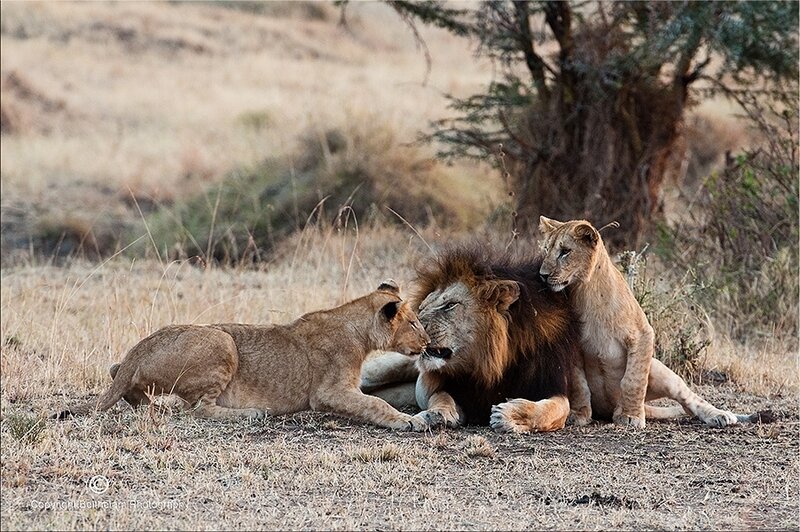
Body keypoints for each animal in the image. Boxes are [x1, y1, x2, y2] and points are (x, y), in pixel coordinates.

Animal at [56, 280, 431, 430]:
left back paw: (151, 406)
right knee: (198, 409)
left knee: (116, 372)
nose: (428, 343)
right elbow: (376, 403)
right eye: (414, 322)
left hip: (131, 366)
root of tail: (141, 347)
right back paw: (252, 413)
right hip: (222, 341)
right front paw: (409, 421)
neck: (358, 330)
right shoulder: (329, 392)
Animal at [361, 245, 583, 433]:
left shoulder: (553, 384)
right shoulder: (439, 384)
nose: (408, 329)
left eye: (450, 305)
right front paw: (437, 414)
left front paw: (508, 416)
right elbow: (440, 397)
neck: (492, 364)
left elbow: (552, 410)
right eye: (422, 307)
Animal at [537, 216, 753, 428]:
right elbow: (579, 385)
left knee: (690, 401)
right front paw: (578, 415)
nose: (542, 275)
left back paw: (720, 416)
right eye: (546, 249)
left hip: (661, 370)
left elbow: (633, 380)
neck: (585, 292)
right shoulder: (573, 346)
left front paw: (631, 415)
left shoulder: (643, 334)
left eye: (565, 251)